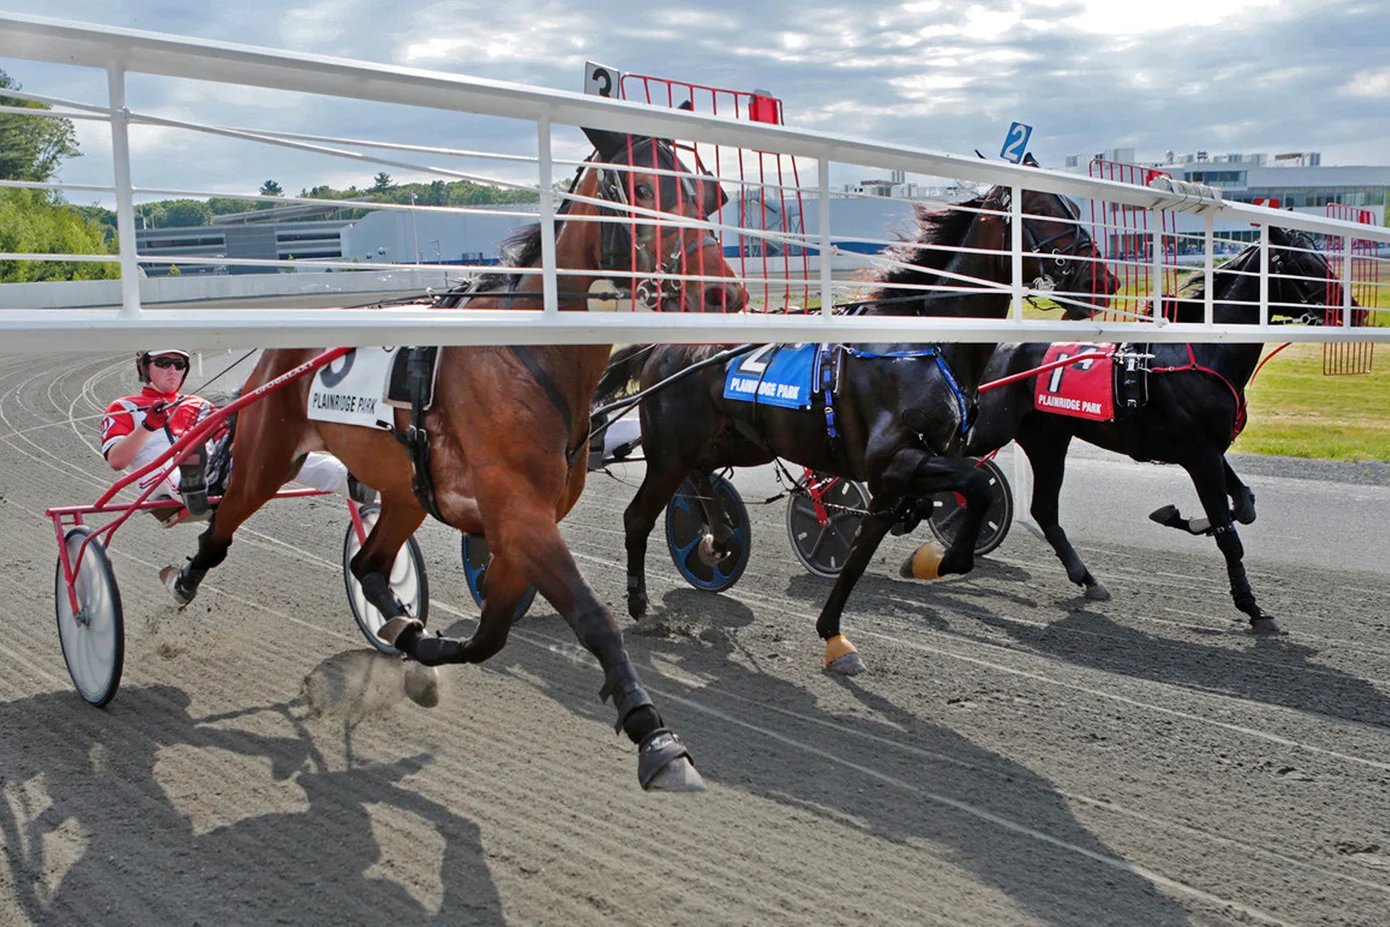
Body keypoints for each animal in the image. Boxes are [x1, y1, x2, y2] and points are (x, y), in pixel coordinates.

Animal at [164, 125, 746, 792]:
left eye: (712, 195)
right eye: (644, 190)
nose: (725, 291)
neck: (525, 354)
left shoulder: (519, 522)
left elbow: (489, 635)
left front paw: (423, 647)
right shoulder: (519, 515)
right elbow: (591, 618)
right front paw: (656, 738)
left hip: (406, 492)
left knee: (368, 564)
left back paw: (397, 622)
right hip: (267, 458)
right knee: (221, 527)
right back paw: (181, 583)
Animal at [594, 182, 1120, 674]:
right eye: (1046, 212)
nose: (1104, 279)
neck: (919, 345)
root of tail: (660, 347)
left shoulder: (910, 470)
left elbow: (889, 535)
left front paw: (843, 626)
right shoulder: (892, 463)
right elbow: (972, 490)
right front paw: (936, 563)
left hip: (741, 443)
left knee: (702, 477)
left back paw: (718, 539)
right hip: (670, 450)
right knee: (638, 516)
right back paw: (641, 606)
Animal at [965, 227, 1343, 633]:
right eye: (1306, 264)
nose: (1353, 308)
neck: (1203, 355)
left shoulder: (1211, 449)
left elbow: (1244, 507)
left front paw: (1182, 517)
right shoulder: (1201, 456)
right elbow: (1229, 534)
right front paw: (1253, 608)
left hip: (1047, 439)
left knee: (1044, 510)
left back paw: (1087, 579)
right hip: (993, 426)